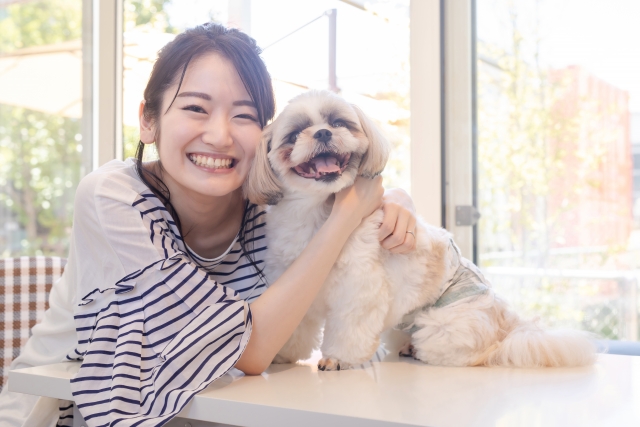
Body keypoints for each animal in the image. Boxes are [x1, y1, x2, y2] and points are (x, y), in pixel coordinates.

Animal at [242, 90, 596, 372]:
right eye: (295, 134)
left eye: (340, 122)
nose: (324, 133)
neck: (317, 215)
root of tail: (508, 325)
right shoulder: (291, 280)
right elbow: (294, 325)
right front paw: (281, 355)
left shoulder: (358, 288)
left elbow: (349, 327)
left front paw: (337, 358)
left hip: (446, 329)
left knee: (476, 353)